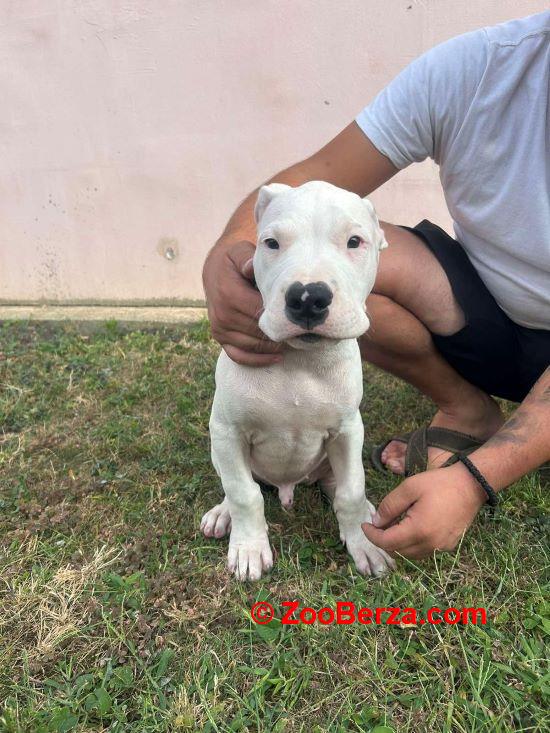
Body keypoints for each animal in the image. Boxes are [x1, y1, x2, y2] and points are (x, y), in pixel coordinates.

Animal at [202, 182, 396, 576]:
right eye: (271, 243)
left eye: (355, 241)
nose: (308, 297)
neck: (301, 359)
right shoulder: (227, 430)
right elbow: (244, 494)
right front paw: (249, 549)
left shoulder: (347, 428)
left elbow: (351, 491)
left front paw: (364, 543)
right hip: (221, 449)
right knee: (238, 485)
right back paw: (222, 514)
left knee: (340, 484)